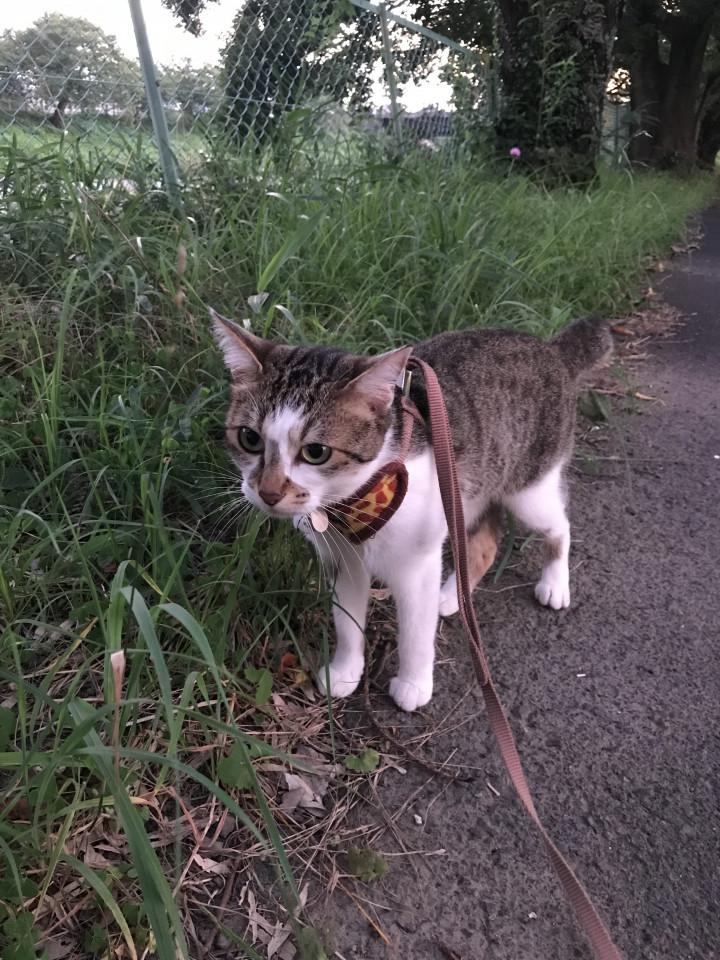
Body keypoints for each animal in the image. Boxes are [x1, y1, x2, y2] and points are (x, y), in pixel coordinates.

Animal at [211, 310, 612, 712]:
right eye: (249, 438)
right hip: (465, 495)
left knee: (558, 524)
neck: (355, 499)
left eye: (316, 452)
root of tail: (550, 349)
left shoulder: (417, 564)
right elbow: (347, 621)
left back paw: (554, 583)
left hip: (528, 488)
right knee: (484, 544)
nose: (268, 492)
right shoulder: (342, 559)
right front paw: (345, 671)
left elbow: (415, 634)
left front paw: (414, 683)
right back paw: (451, 596)